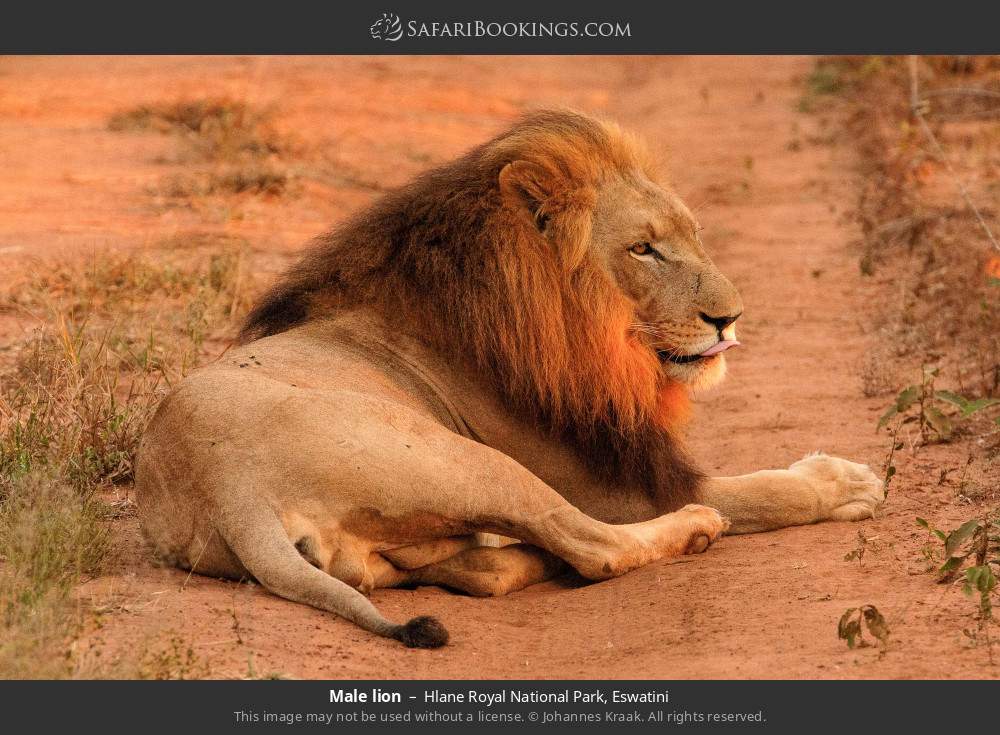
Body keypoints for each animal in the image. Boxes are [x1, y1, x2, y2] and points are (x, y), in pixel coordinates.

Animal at [135, 106, 884, 648]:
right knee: (592, 546)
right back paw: (692, 528)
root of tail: (231, 492)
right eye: (644, 249)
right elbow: (762, 491)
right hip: (460, 457)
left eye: (693, 237)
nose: (730, 319)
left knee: (480, 567)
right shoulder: (618, 483)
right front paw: (845, 482)